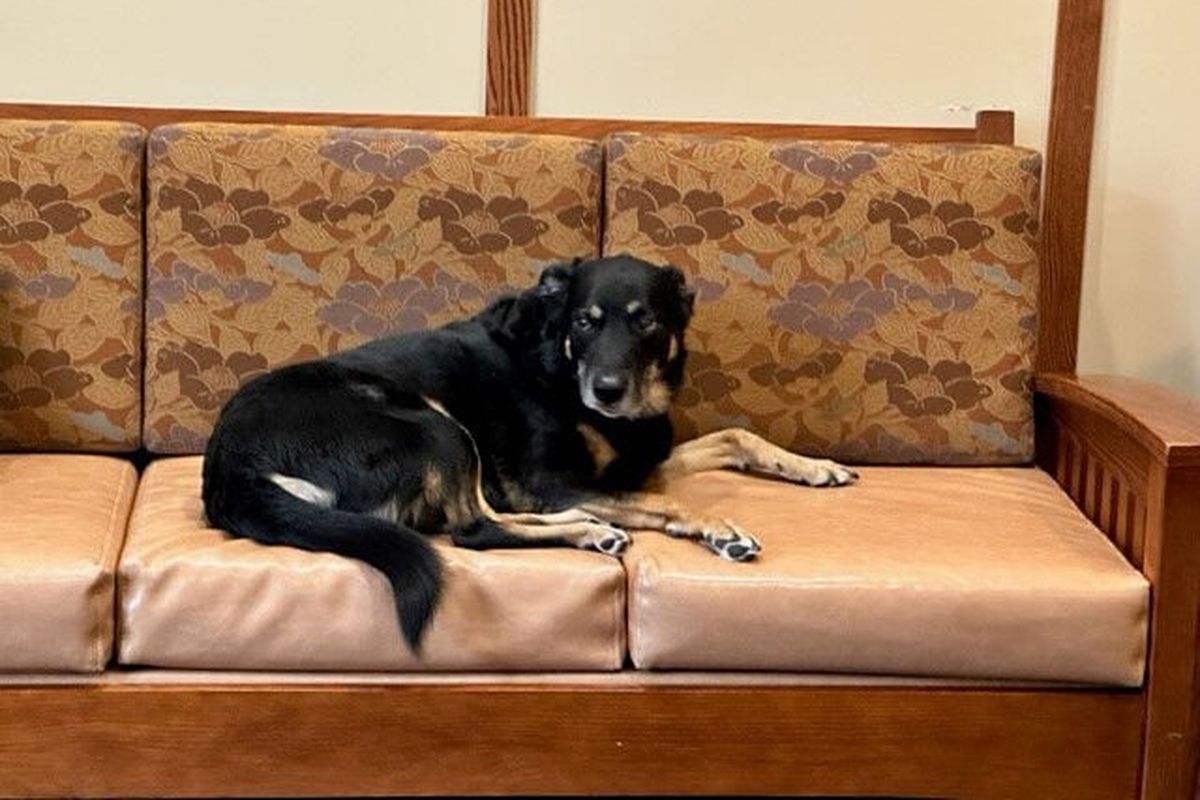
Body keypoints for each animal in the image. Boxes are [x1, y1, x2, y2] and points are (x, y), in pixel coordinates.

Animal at [201, 256, 854, 652]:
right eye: (586, 322)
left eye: (645, 321)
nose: (606, 390)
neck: (559, 369)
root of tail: (228, 471)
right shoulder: (551, 480)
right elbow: (668, 504)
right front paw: (721, 529)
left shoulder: (640, 460)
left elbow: (736, 436)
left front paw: (814, 467)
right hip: (432, 424)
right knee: (474, 530)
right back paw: (587, 528)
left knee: (484, 519)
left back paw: (591, 529)